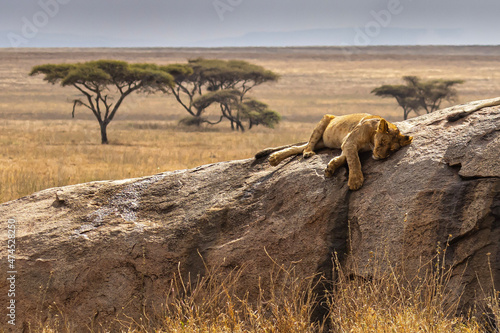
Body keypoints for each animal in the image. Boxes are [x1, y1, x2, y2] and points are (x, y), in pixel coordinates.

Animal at [256, 113, 412, 189]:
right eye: (383, 141)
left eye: (391, 149)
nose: (379, 157)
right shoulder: (350, 142)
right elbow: (354, 161)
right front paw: (355, 181)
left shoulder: (346, 144)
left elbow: (344, 158)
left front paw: (331, 167)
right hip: (324, 120)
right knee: (307, 145)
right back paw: (306, 153)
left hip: (322, 142)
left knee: (298, 148)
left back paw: (274, 158)